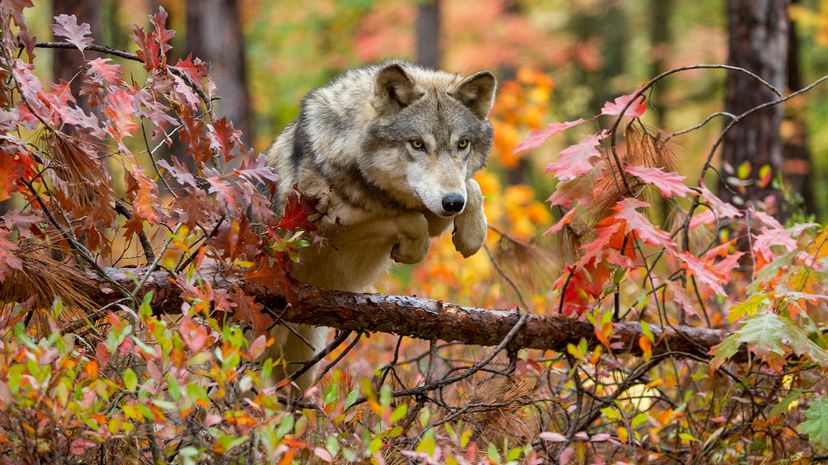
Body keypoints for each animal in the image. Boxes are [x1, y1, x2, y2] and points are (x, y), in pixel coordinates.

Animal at [266, 59, 498, 390]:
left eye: (462, 144)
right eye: (417, 144)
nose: (452, 203)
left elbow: (473, 189)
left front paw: (472, 235)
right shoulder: (324, 230)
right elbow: (410, 220)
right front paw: (412, 250)